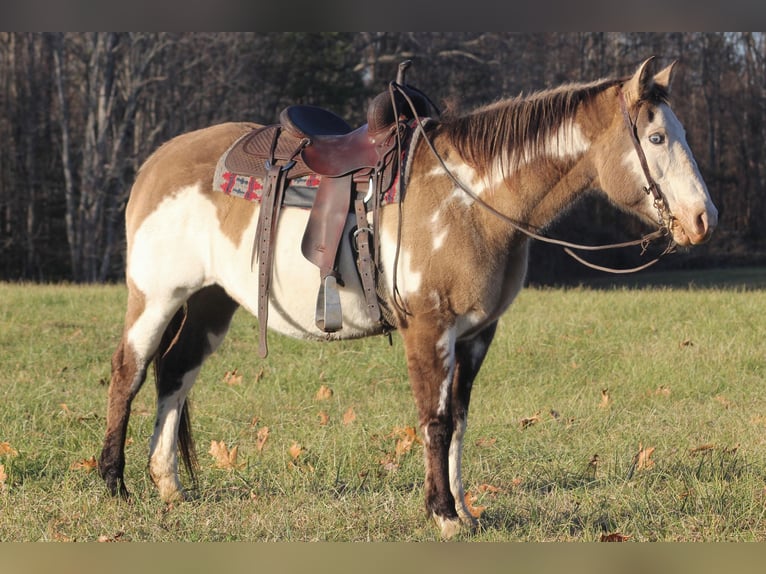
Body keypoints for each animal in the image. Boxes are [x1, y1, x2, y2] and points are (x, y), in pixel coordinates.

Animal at [100, 58, 720, 540]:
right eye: (657, 138)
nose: (702, 220)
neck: (470, 197)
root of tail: (156, 163)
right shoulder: (429, 328)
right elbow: (434, 419)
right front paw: (443, 514)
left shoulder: (475, 335)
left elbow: (460, 420)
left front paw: (463, 510)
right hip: (155, 297)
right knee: (129, 372)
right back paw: (114, 482)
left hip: (212, 301)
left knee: (175, 373)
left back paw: (167, 485)